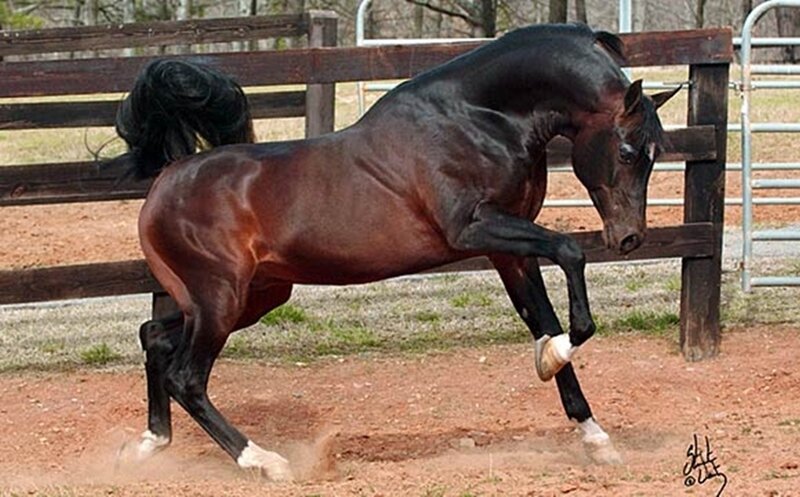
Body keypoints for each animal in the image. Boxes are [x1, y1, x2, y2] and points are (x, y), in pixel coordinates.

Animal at [114, 23, 678, 480]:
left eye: (655, 155)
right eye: (629, 151)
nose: (629, 238)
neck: (477, 118)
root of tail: (169, 176)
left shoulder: (509, 251)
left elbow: (542, 318)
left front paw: (596, 438)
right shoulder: (474, 229)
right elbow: (569, 255)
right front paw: (557, 353)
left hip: (252, 297)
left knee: (154, 338)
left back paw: (148, 444)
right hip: (220, 299)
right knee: (187, 377)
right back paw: (266, 463)